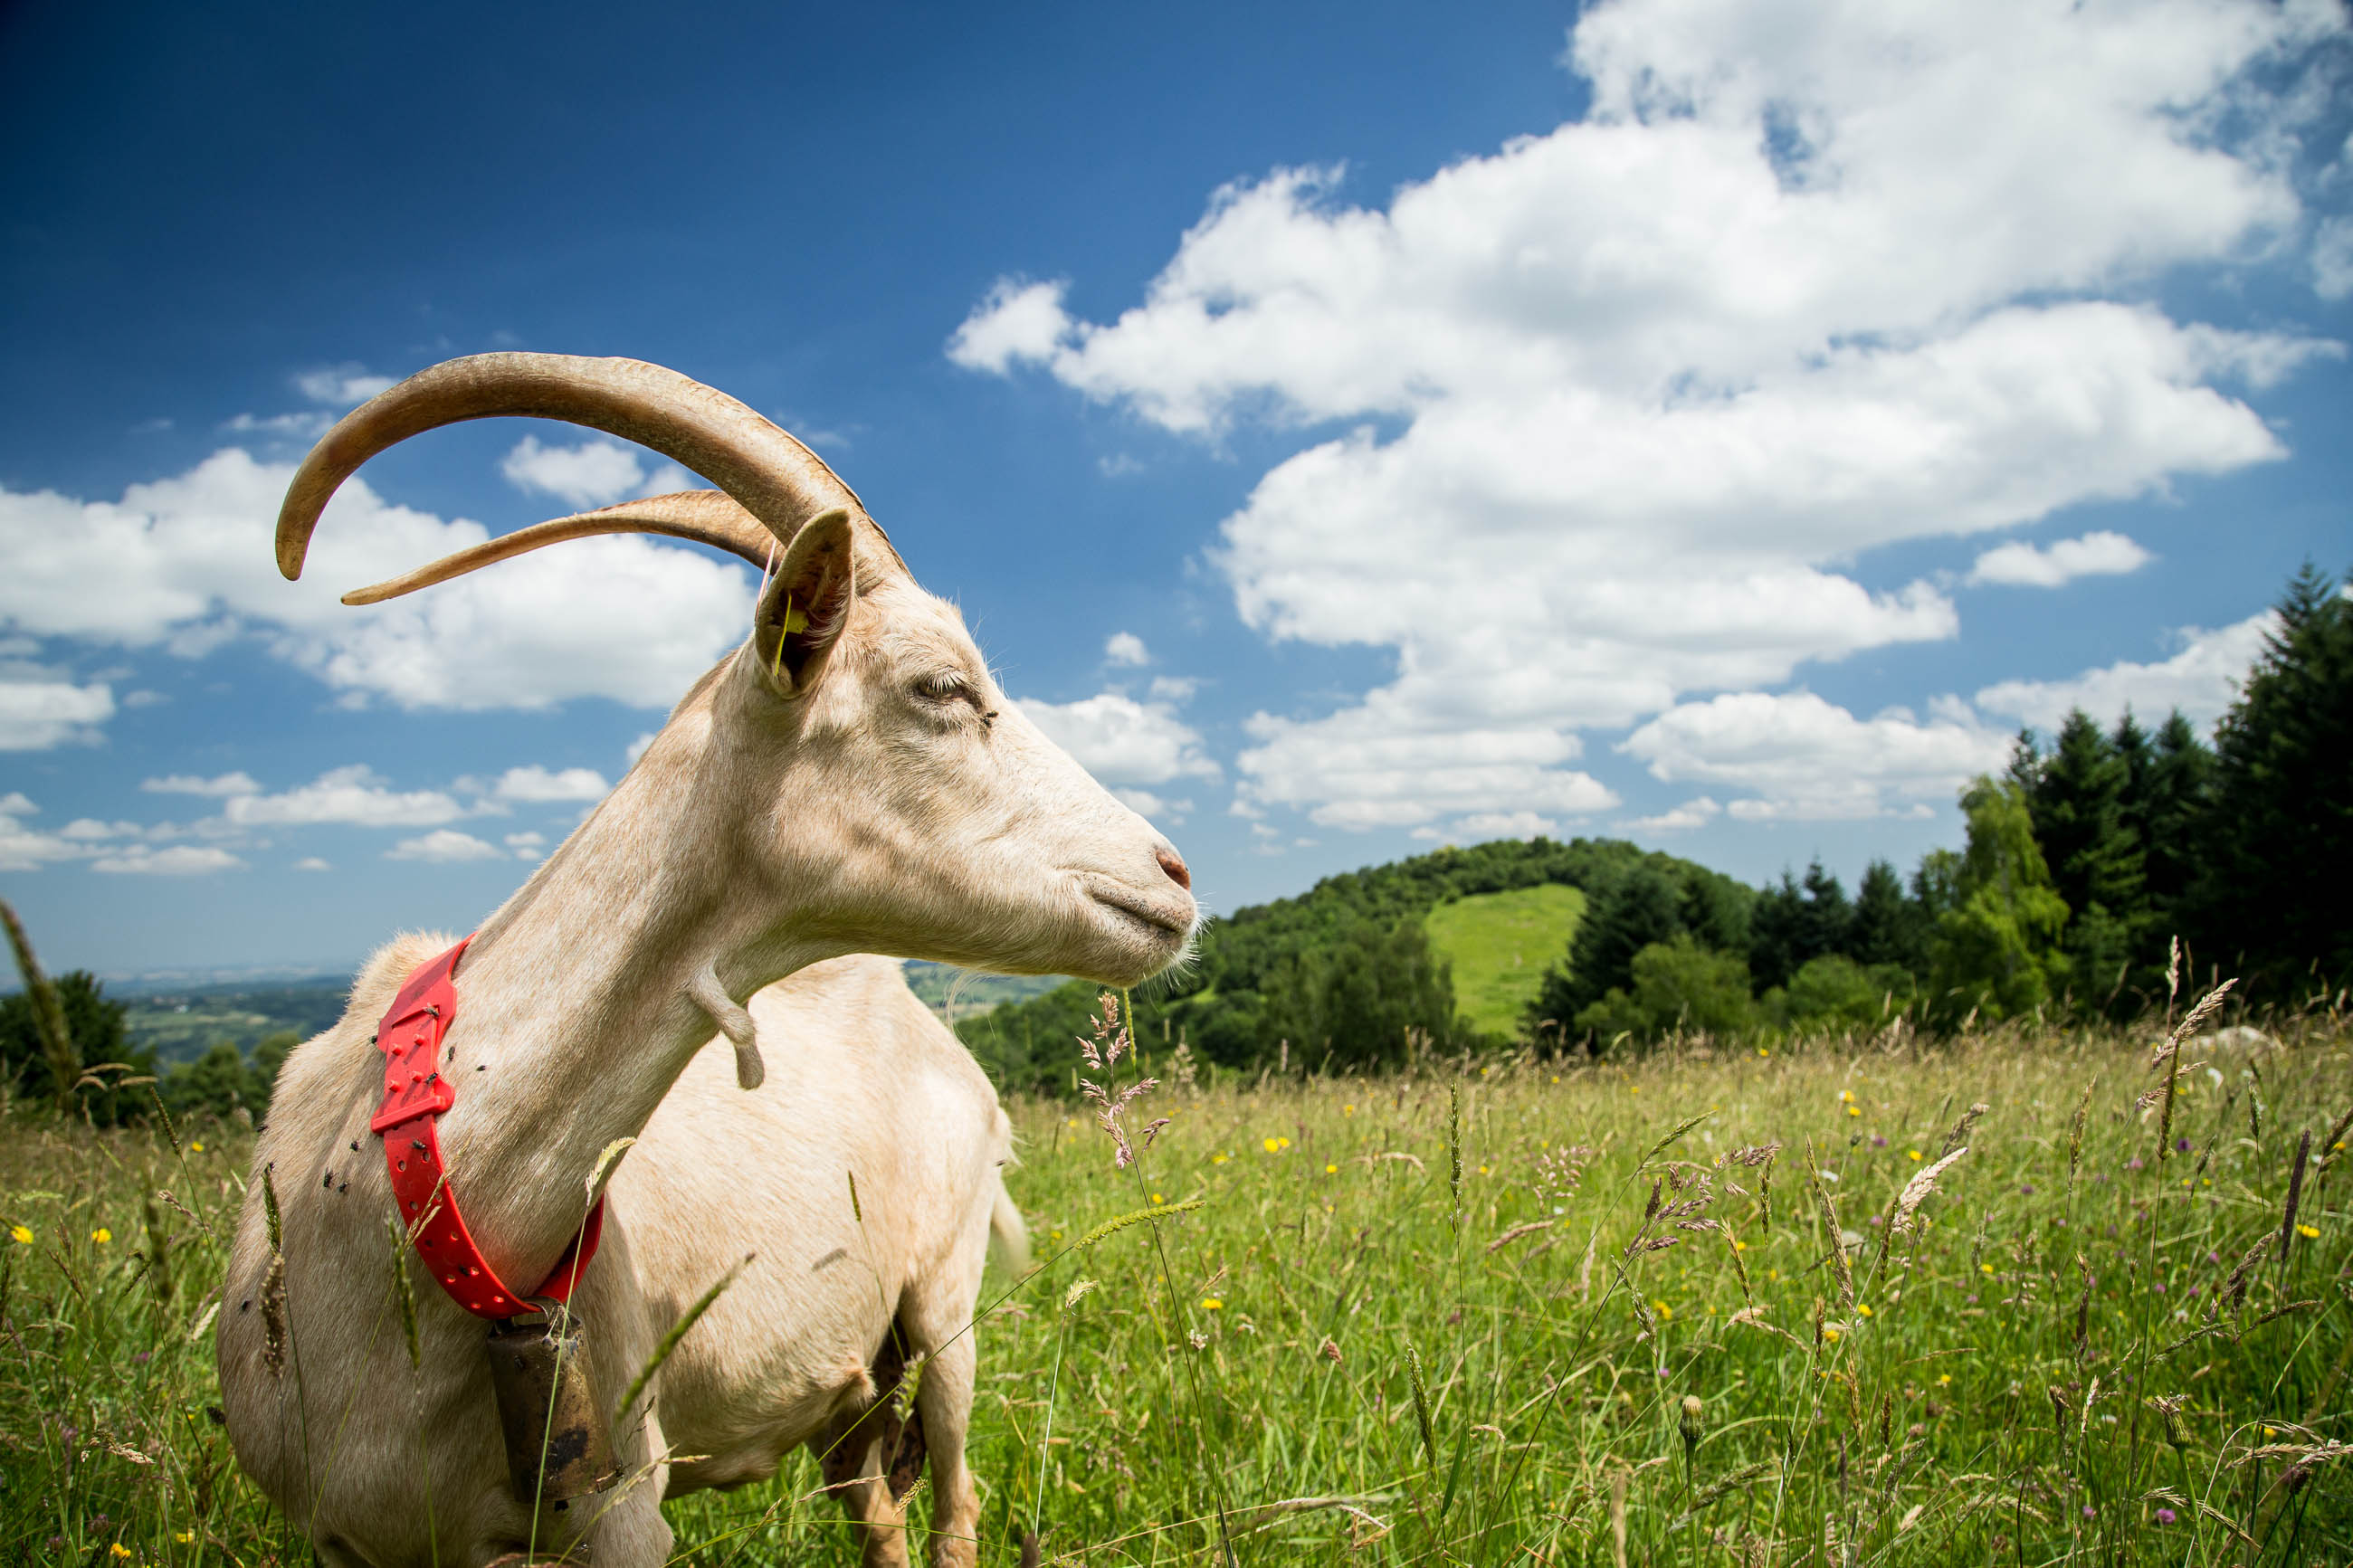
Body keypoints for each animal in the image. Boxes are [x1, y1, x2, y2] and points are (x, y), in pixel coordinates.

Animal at [218, 355, 1195, 1568]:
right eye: (938, 687)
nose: (1173, 874)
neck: (411, 1189)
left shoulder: (620, 1504)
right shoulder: (345, 1535)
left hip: (944, 1305)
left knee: (958, 1499)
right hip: (850, 1379)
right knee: (878, 1508)